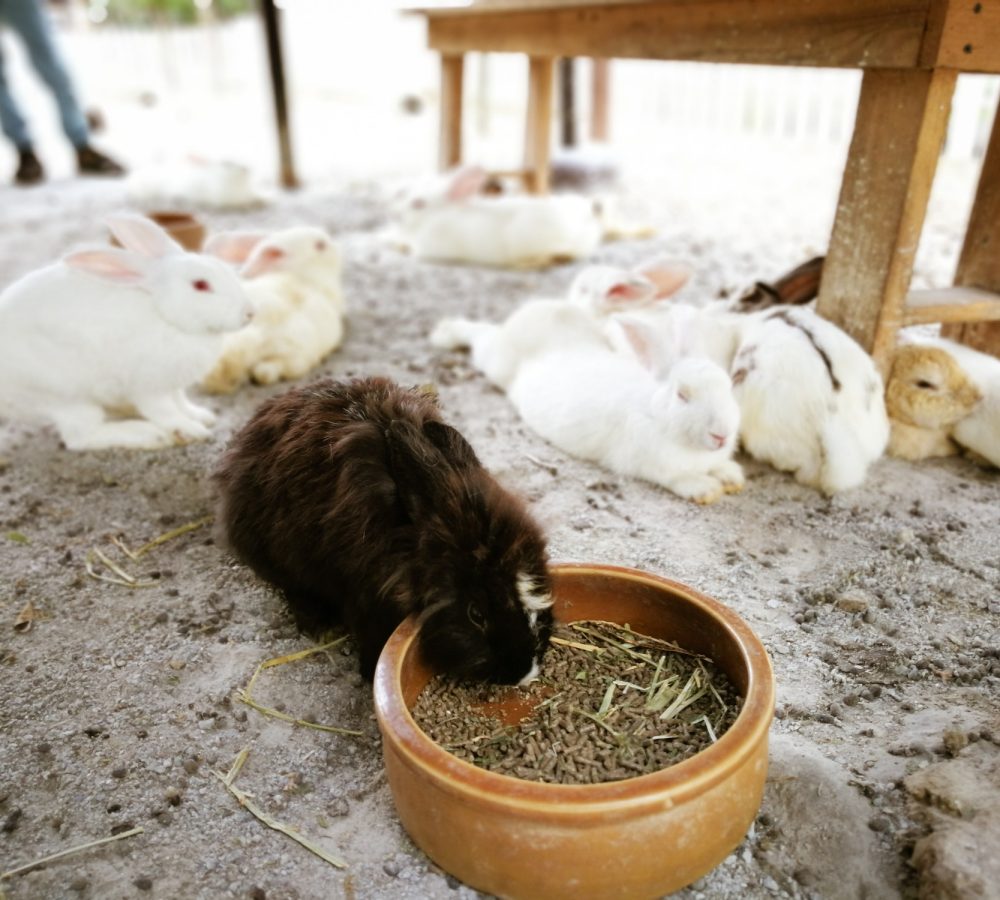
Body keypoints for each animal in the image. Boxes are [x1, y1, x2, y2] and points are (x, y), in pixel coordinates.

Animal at [0, 214, 253, 451]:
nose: (249, 313)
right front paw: (192, 430)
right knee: (81, 437)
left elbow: (181, 402)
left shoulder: (174, 385)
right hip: (66, 396)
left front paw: (202, 416)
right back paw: (148, 435)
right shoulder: (150, 387)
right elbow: (166, 412)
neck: (164, 315)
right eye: (200, 285)